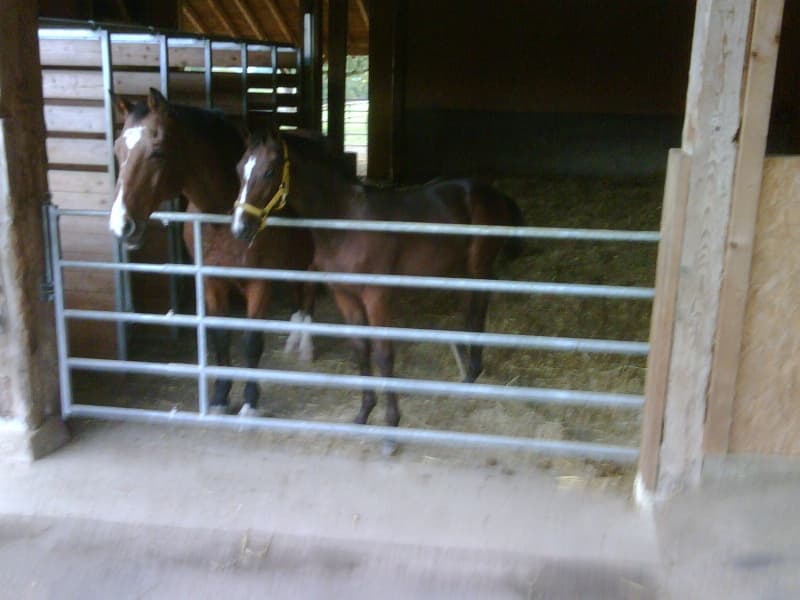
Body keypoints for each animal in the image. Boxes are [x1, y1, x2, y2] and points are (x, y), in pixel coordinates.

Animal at [108, 88, 316, 416]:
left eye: (157, 151)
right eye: (118, 150)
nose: (121, 225)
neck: (222, 219)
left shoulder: (260, 284)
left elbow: (251, 342)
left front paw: (250, 401)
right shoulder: (211, 281)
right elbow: (220, 337)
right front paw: (219, 397)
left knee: (308, 297)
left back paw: (305, 346)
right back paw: (294, 341)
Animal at [230, 124, 523, 431]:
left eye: (269, 171)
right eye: (240, 169)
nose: (240, 228)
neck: (346, 220)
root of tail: (492, 192)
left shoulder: (376, 295)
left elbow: (384, 353)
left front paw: (392, 421)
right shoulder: (344, 294)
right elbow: (361, 349)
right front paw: (363, 413)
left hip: (480, 267)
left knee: (479, 311)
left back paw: (474, 371)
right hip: (462, 270)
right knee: (470, 311)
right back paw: (468, 373)